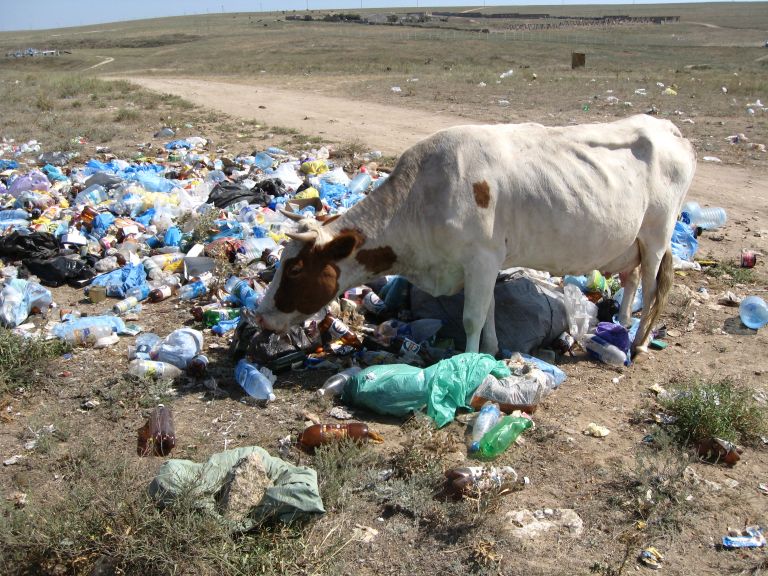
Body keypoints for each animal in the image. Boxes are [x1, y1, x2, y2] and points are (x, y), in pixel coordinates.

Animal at [254, 115, 696, 358]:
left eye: (295, 268)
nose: (259, 315)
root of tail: (669, 128)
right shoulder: (481, 263)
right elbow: (488, 312)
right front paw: (491, 351)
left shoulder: (481, 257)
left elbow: (471, 316)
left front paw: (467, 364)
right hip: (629, 243)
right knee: (631, 279)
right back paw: (621, 325)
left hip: (657, 235)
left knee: (653, 287)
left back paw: (638, 343)